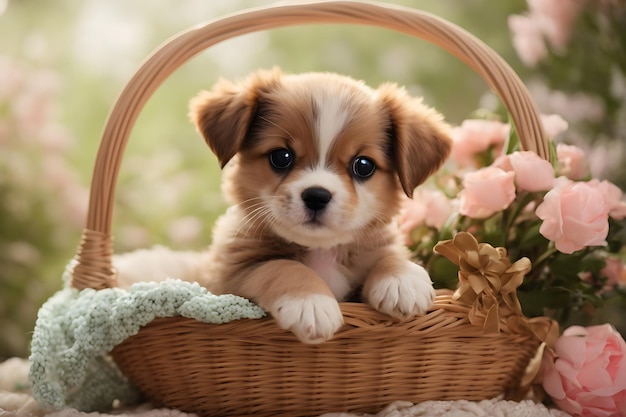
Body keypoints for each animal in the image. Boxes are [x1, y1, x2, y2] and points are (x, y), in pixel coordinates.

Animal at [185, 66, 448, 342]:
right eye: (281, 156)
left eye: (364, 165)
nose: (316, 196)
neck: (322, 251)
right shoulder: (229, 276)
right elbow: (281, 265)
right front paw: (310, 303)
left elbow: (390, 255)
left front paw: (401, 280)